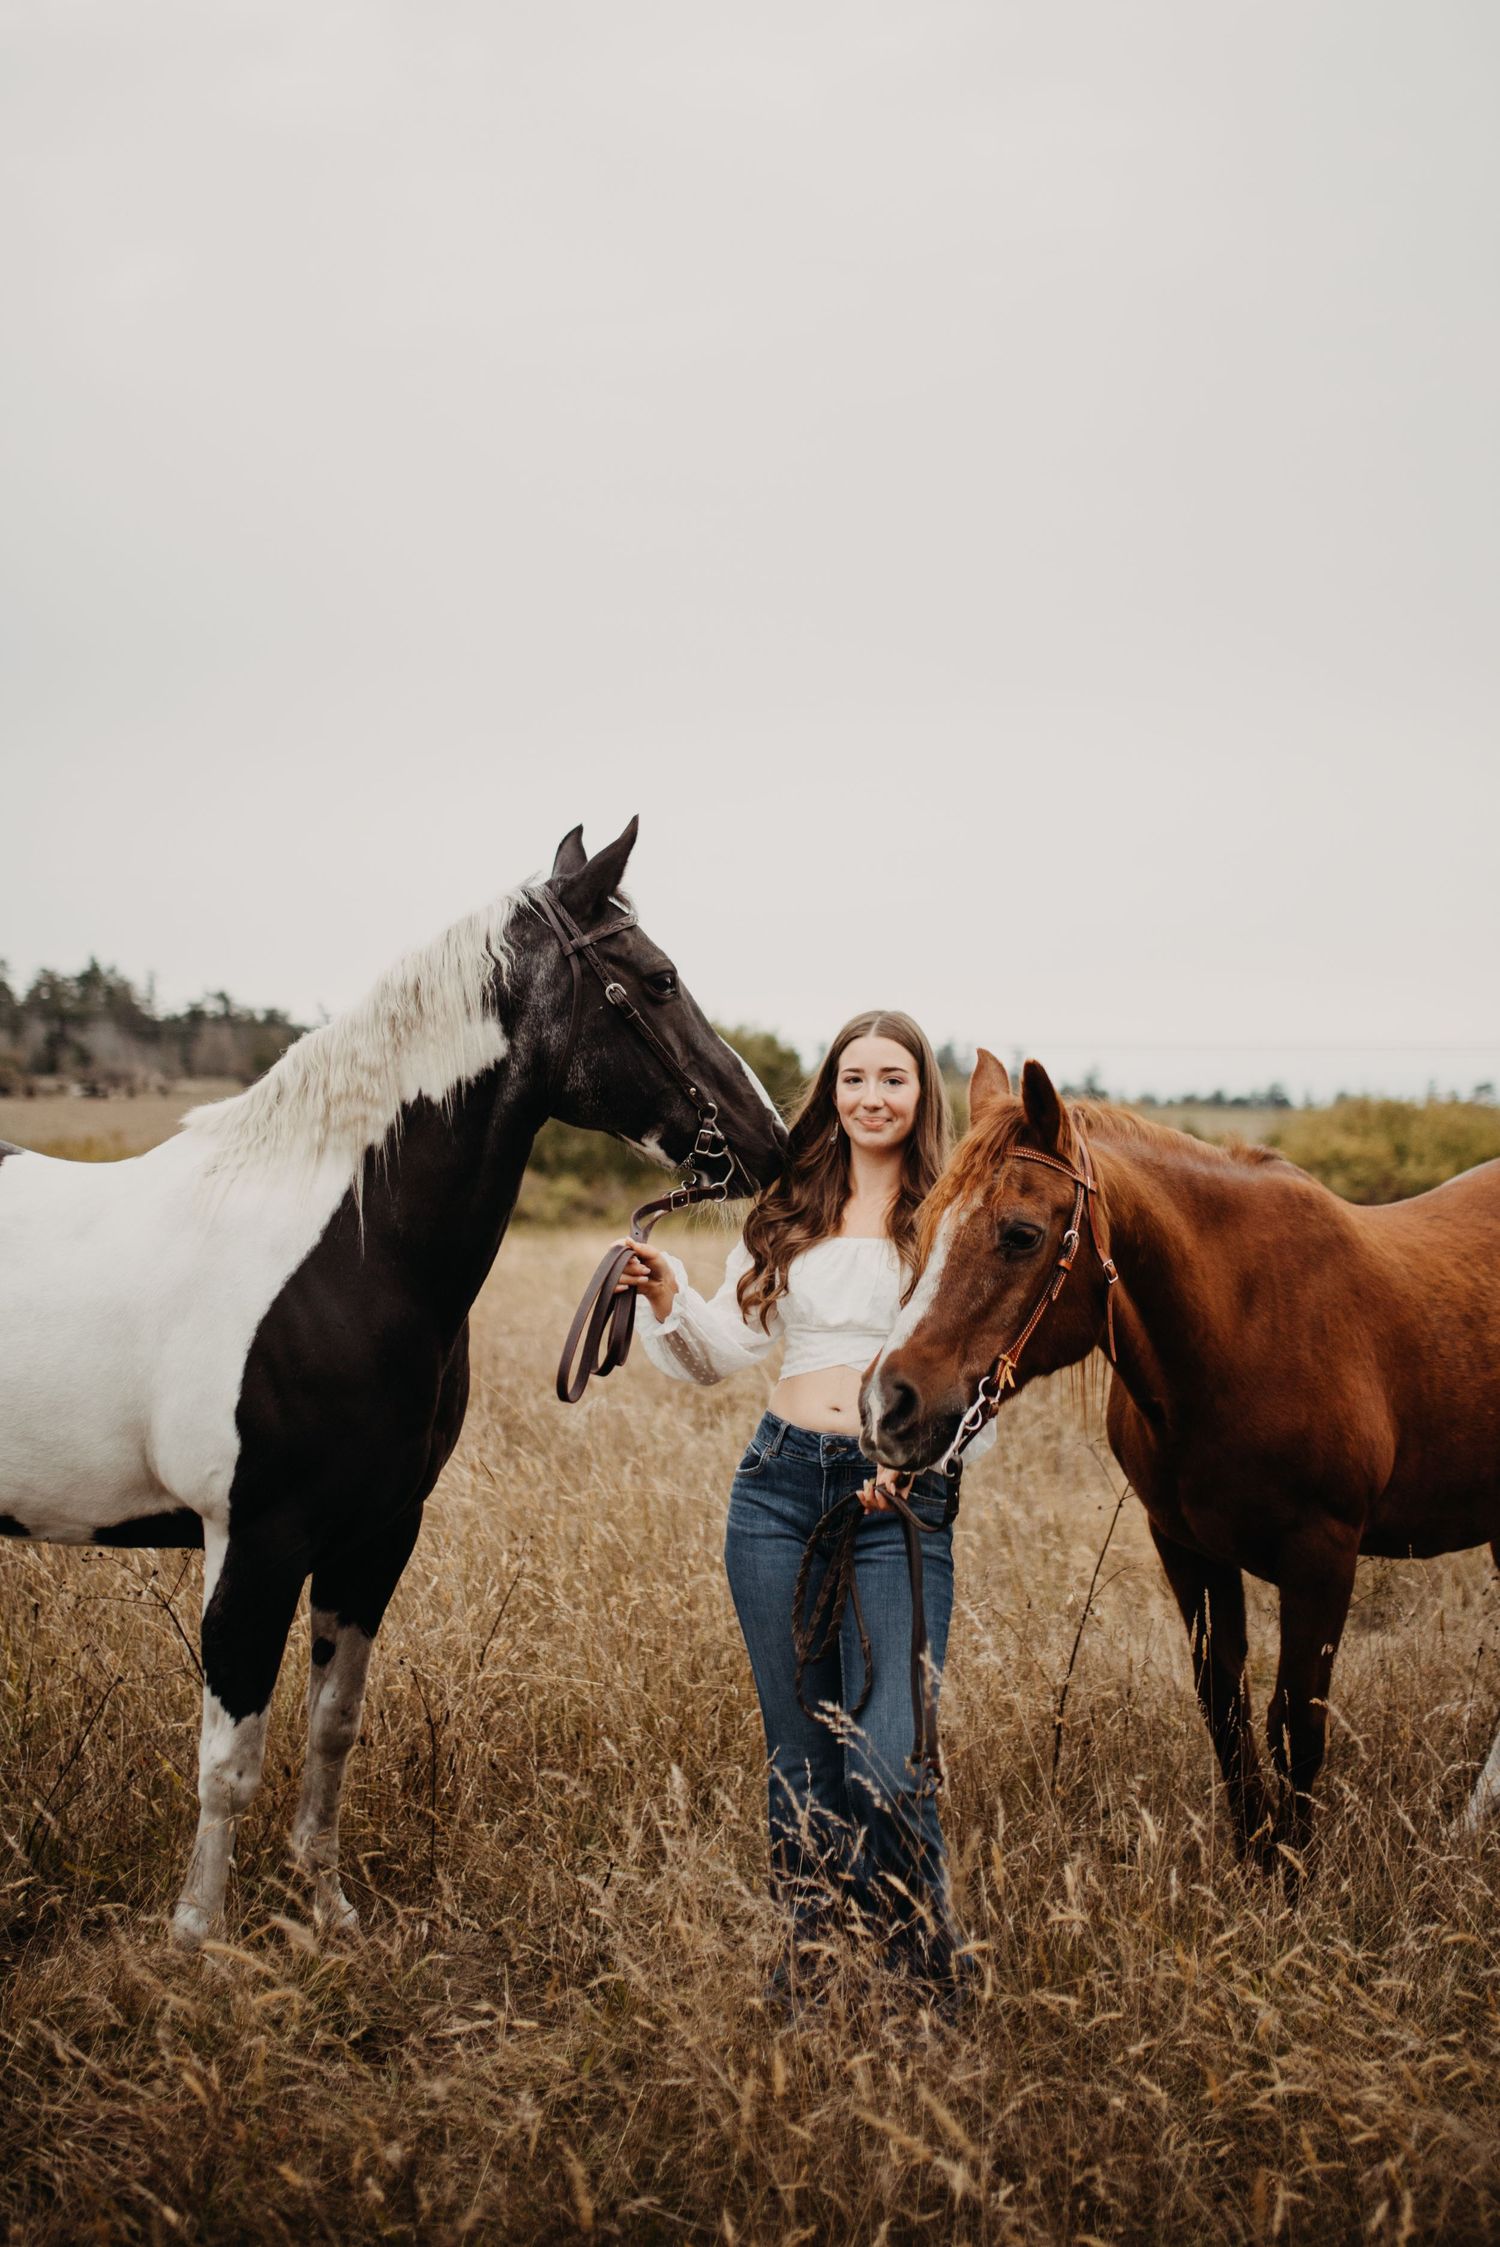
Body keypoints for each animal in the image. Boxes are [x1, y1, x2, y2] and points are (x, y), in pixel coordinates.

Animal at [0, 819, 787, 1945]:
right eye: (660, 979)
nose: (772, 1144)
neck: (345, 1258)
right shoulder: (255, 1541)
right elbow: (228, 1757)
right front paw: (199, 1937)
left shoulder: (375, 1536)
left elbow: (333, 1726)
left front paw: (327, 1909)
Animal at [861, 1051, 1500, 1862]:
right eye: (922, 1223)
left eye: (1021, 1234)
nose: (886, 1406)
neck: (1243, 1323)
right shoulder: (1186, 1547)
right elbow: (1225, 1709)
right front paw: (1256, 1858)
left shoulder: (1324, 1555)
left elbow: (1297, 1727)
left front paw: (1295, 1874)